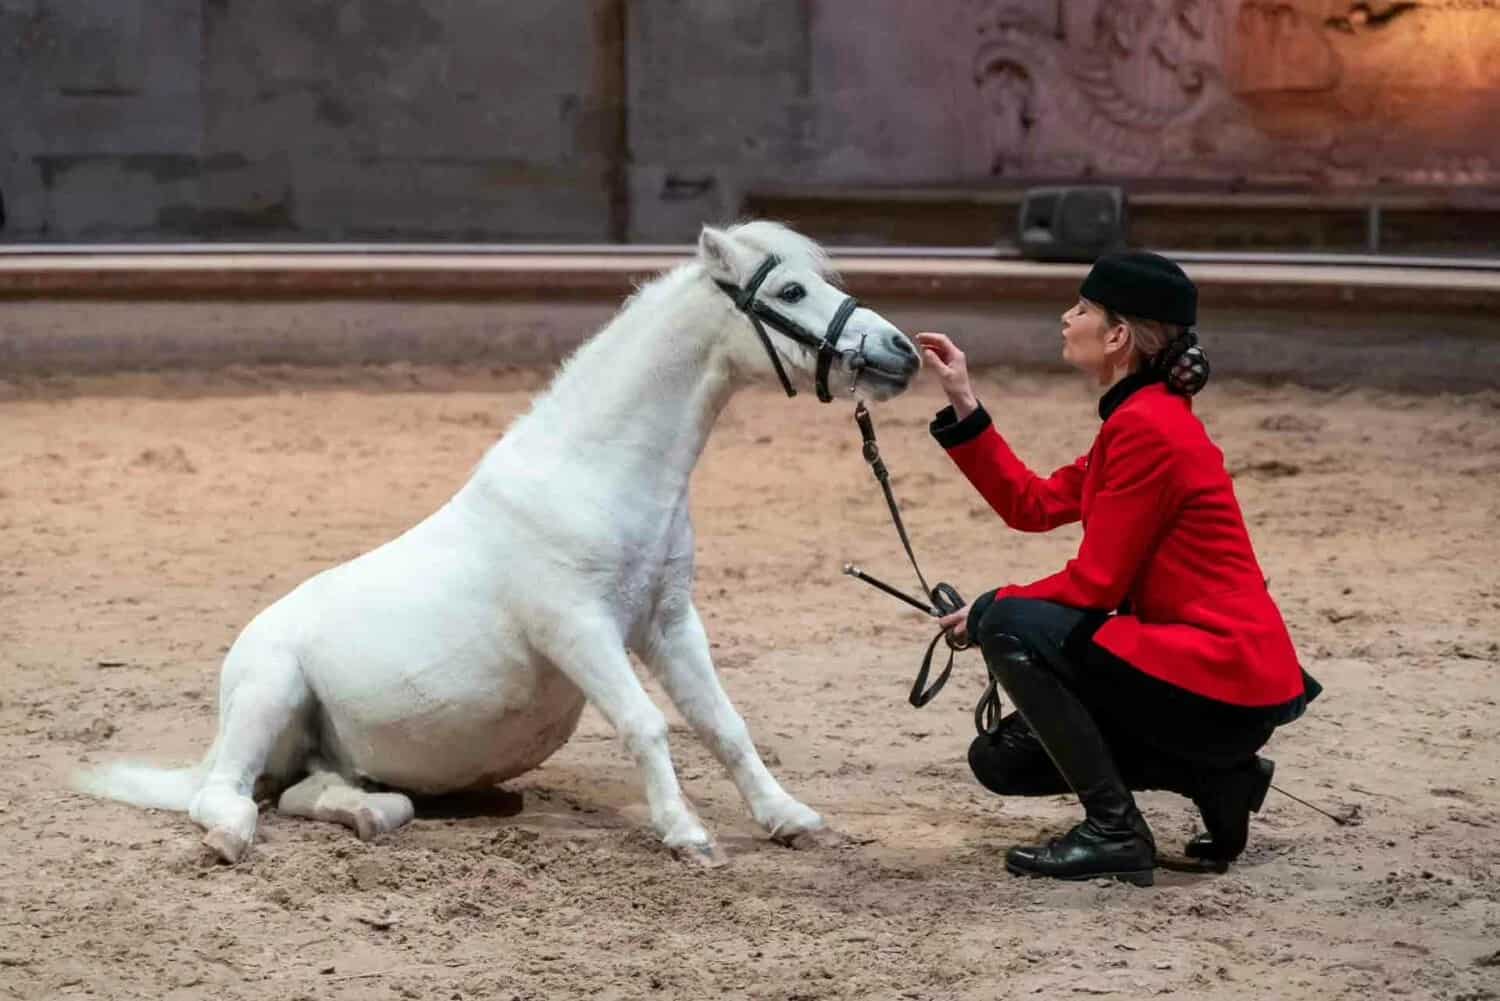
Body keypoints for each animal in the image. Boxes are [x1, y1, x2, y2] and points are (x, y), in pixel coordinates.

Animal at [74, 220, 922, 865]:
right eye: (790, 292)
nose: (901, 351)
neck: (592, 476)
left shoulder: (668, 621)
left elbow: (724, 723)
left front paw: (789, 818)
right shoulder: (579, 628)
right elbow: (647, 723)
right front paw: (687, 834)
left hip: (322, 750)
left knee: (313, 791)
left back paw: (371, 815)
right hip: (268, 692)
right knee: (224, 795)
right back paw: (232, 835)